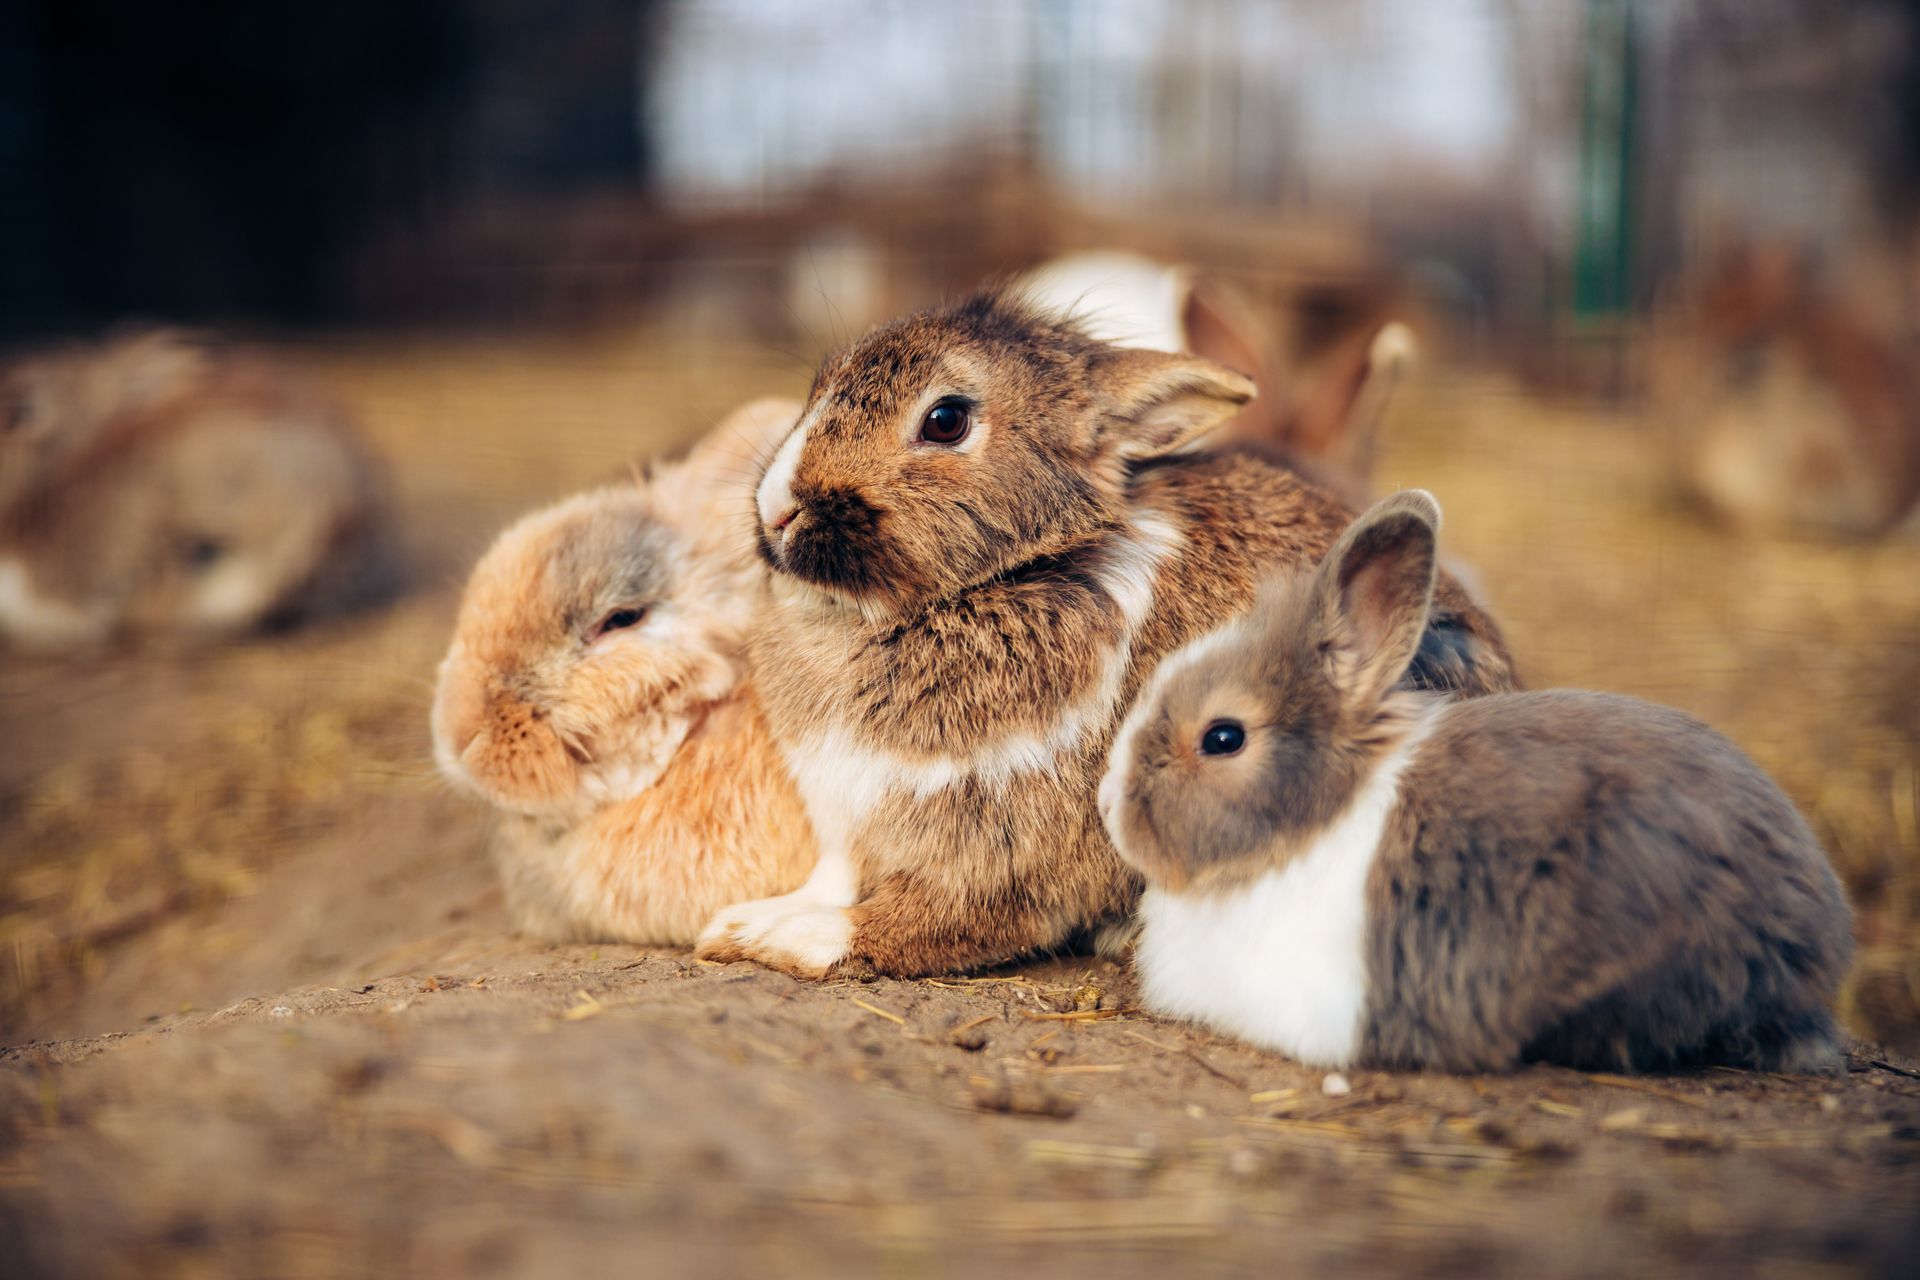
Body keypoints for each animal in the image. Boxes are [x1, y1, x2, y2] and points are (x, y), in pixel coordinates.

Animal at [695, 289, 1514, 980]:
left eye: (946, 420)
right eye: (822, 383)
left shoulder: (1006, 854)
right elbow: (831, 877)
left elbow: (910, 923)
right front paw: (742, 920)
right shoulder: (847, 810)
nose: (777, 509)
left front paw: (768, 937)